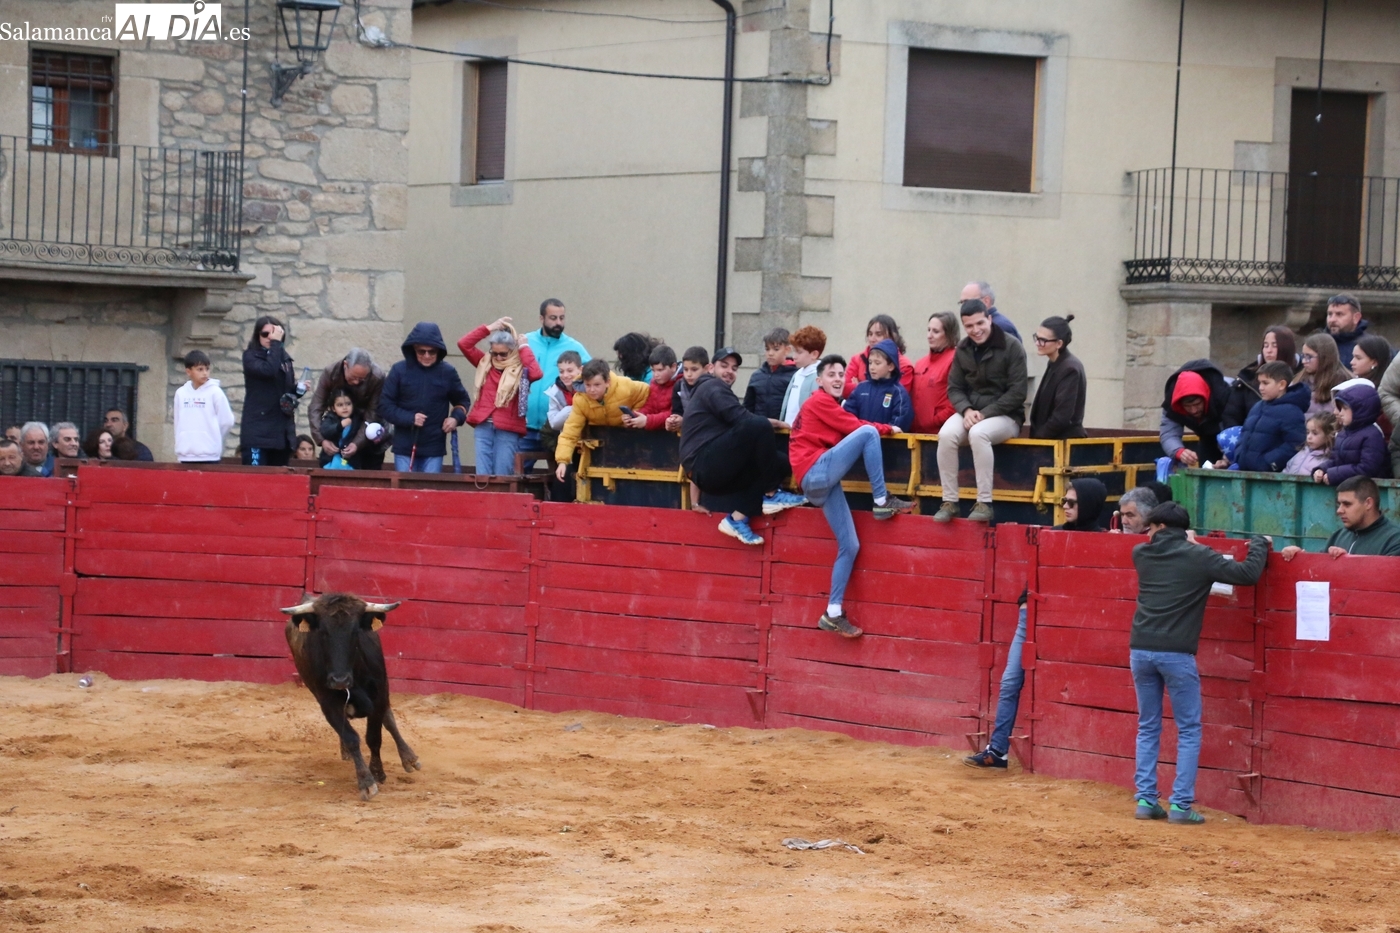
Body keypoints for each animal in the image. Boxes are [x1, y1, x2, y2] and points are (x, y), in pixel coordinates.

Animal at [282, 593, 421, 799]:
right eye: (323, 632)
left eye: (355, 632)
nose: (339, 680)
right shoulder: (327, 703)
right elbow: (351, 737)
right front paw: (366, 781)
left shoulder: (379, 696)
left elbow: (374, 737)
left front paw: (378, 772)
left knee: (389, 720)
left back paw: (409, 758)